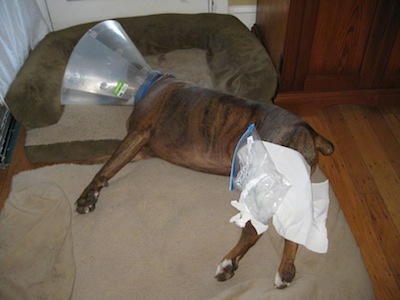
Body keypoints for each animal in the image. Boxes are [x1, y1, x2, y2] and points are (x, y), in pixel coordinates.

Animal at [76, 74, 332, 288]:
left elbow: (107, 164)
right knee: (292, 228)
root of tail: (308, 130)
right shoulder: (142, 150)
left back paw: (228, 263)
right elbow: (101, 159)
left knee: (254, 229)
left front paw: (87, 196)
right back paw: (285, 271)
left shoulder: (137, 134)